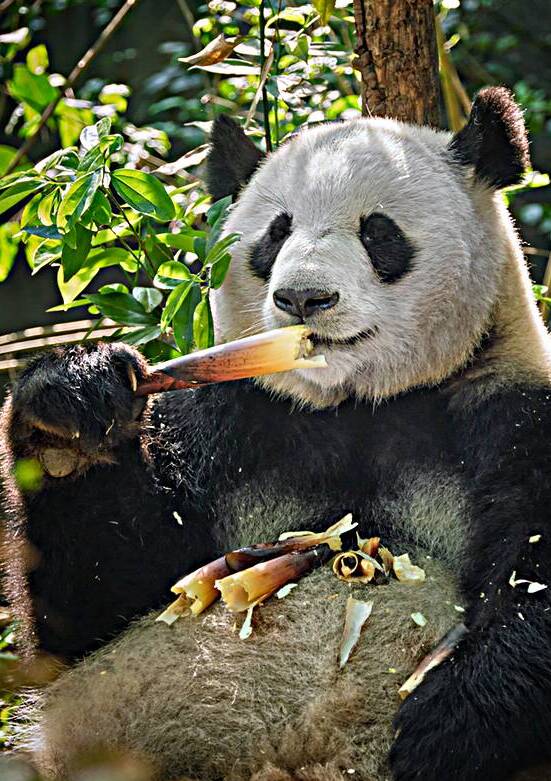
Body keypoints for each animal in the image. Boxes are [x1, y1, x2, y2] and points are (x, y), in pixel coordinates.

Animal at [2, 87, 551, 781]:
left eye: (379, 231)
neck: (358, 406)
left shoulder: (508, 414)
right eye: (276, 232)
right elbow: (94, 607)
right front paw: (71, 413)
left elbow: (533, 596)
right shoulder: (227, 425)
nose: (303, 299)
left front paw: (441, 729)